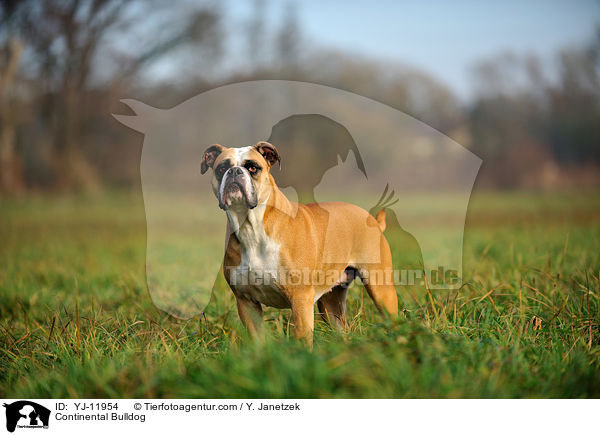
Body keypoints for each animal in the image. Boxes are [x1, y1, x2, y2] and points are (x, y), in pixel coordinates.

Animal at [202, 141, 398, 346]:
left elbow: (302, 338)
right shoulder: (246, 302)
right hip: (330, 305)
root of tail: (373, 221)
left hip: (381, 289)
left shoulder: (300, 300)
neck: (251, 227)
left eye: (253, 168)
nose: (233, 172)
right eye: (221, 168)